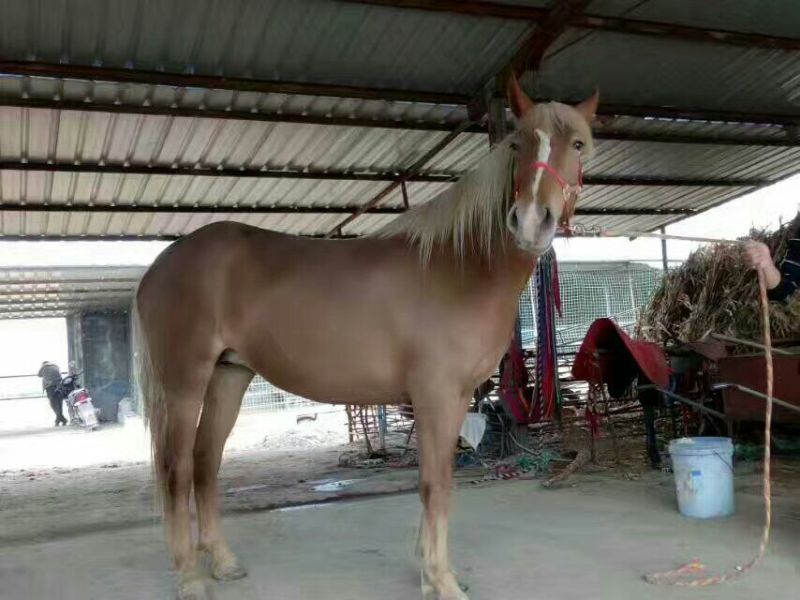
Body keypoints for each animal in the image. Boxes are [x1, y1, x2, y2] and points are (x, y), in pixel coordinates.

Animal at [134, 75, 598, 600]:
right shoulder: (436, 395)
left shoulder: (456, 398)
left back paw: (224, 563)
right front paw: (442, 580)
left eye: (578, 144)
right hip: (184, 382)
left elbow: (435, 483)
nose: (532, 221)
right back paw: (190, 577)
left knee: (204, 462)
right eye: (518, 143)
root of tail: (160, 266)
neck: (461, 267)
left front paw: (428, 569)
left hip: (228, 376)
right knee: (176, 470)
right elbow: (435, 485)